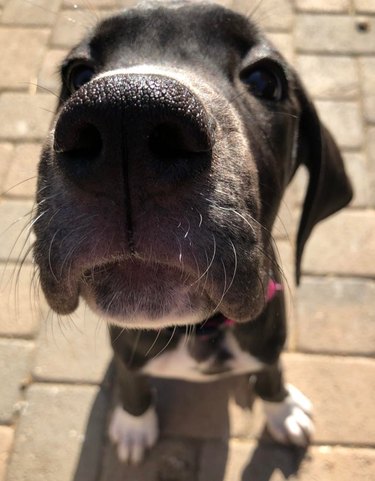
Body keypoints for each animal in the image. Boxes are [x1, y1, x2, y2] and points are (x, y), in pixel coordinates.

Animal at [32, 0, 352, 464]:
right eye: (78, 73)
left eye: (265, 79)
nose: (126, 114)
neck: (196, 330)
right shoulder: (127, 351)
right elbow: (132, 382)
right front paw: (135, 423)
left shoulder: (269, 340)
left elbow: (271, 374)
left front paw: (282, 408)